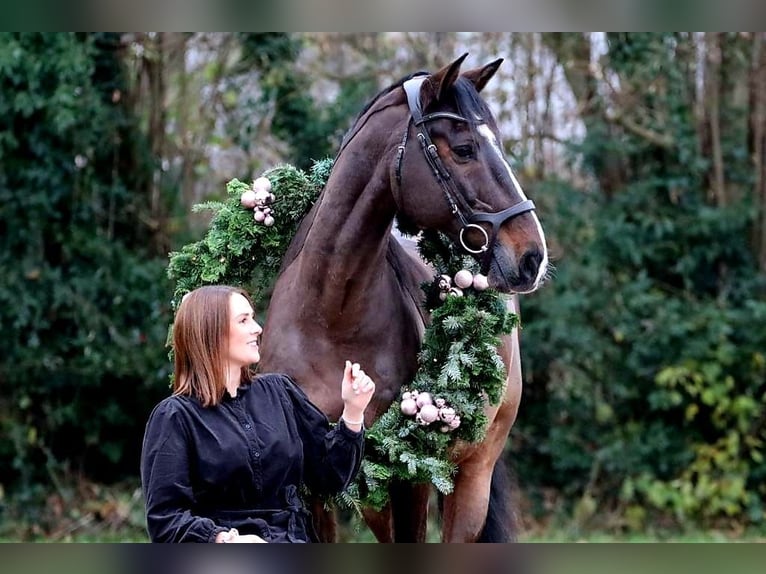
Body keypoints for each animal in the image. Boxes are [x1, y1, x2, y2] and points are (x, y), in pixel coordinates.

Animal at [260, 54, 548, 544]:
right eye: (465, 148)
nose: (533, 256)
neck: (329, 316)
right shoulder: (319, 486)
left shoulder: (408, 480)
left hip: (472, 475)